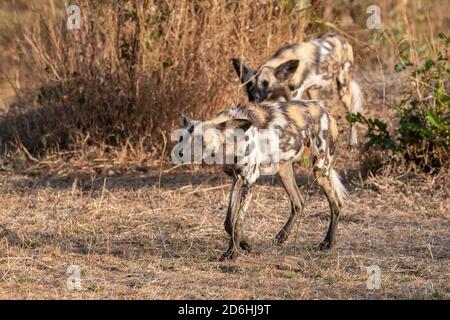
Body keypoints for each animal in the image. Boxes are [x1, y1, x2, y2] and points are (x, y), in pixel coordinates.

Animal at [179, 101, 348, 262]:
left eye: (201, 140)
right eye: (182, 138)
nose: (180, 153)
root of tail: (326, 111)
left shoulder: (249, 181)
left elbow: (238, 222)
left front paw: (232, 253)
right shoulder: (237, 179)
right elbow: (229, 222)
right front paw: (245, 244)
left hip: (319, 170)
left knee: (336, 205)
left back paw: (328, 242)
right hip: (283, 170)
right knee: (298, 203)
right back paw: (282, 236)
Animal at [232, 31, 362, 147]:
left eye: (265, 83)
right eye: (249, 84)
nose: (254, 97)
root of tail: (342, 38)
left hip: (343, 89)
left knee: (353, 113)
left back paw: (352, 142)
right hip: (313, 92)